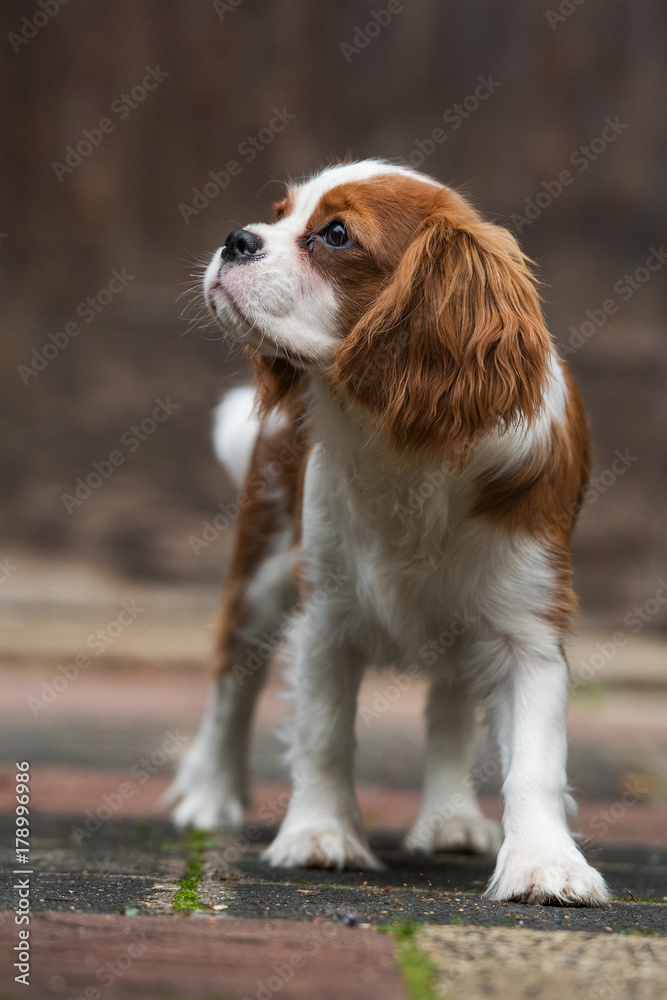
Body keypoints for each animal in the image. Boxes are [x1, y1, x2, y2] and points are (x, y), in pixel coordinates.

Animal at [167, 158, 612, 908]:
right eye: (278, 214)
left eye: (335, 235)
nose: (236, 239)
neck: (403, 443)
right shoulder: (326, 612)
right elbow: (322, 732)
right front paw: (319, 834)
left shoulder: (527, 626)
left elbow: (535, 759)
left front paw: (544, 863)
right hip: (261, 568)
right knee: (233, 681)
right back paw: (210, 794)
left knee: (449, 709)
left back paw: (449, 818)